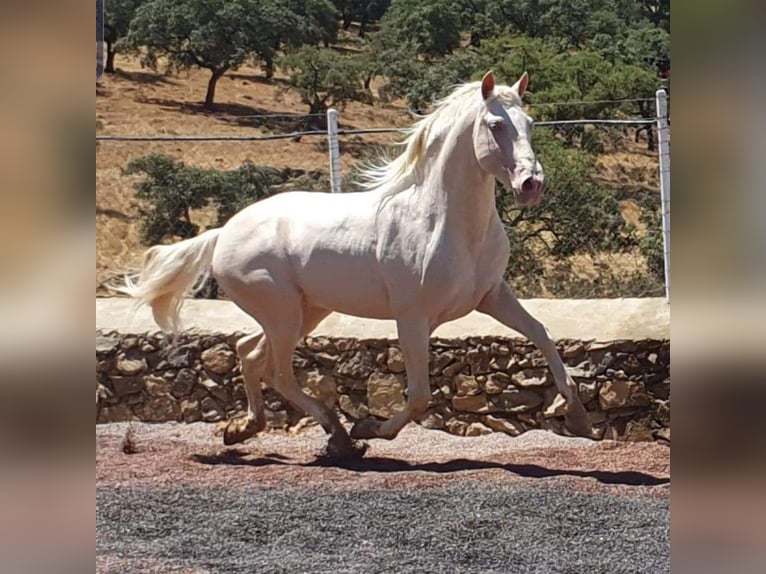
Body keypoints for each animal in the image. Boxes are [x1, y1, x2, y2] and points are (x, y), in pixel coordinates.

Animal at [124, 73, 592, 460]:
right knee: (277, 371)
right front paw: (369, 426)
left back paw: (247, 429)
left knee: (248, 353)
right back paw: (341, 437)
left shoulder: (492, 296)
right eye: (496, 125)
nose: (532, 185)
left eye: (530, 123)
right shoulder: (413, 317)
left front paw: (579, 417)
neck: (446, 222)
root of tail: (224, 231)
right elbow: (419, 395)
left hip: (304, 312)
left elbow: (541, 334)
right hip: (283, 314)